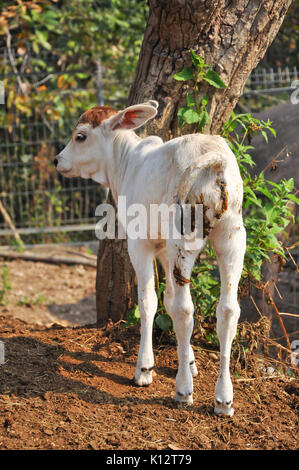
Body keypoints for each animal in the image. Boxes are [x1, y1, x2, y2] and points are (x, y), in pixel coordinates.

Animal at [55, 101, 247, 416]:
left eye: (80, 136)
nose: (58, 160)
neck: (126, 163)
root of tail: (215, 160)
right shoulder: (162, 250)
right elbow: (166, 299)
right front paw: (190, 361)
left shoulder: (140, 243)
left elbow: (149, 302)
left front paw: (144, 369)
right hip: (231, 236)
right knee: (228, 309)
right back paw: (223, 398)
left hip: (183, 236)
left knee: (184, 309)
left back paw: (183, 391)